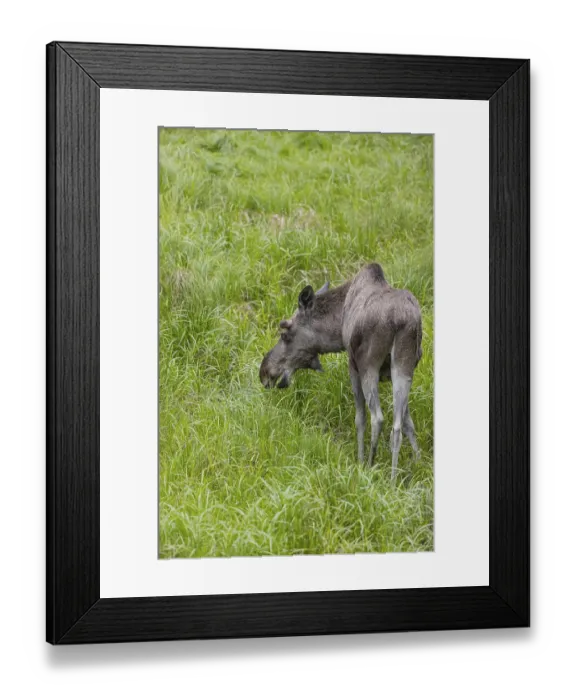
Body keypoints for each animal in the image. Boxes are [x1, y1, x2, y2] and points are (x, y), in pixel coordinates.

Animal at [259, 263, 422, 479]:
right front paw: (419, 462)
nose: (264, 371)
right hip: (404, 365)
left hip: (368, 366)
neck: (337, 327)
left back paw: (370, 465)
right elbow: (407, 423)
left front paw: (360, 461)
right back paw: (394, 478)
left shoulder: (352, 366)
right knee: (396, 427)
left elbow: (360, 418)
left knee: (377, 418)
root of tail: (401, 320)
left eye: (285, 332)